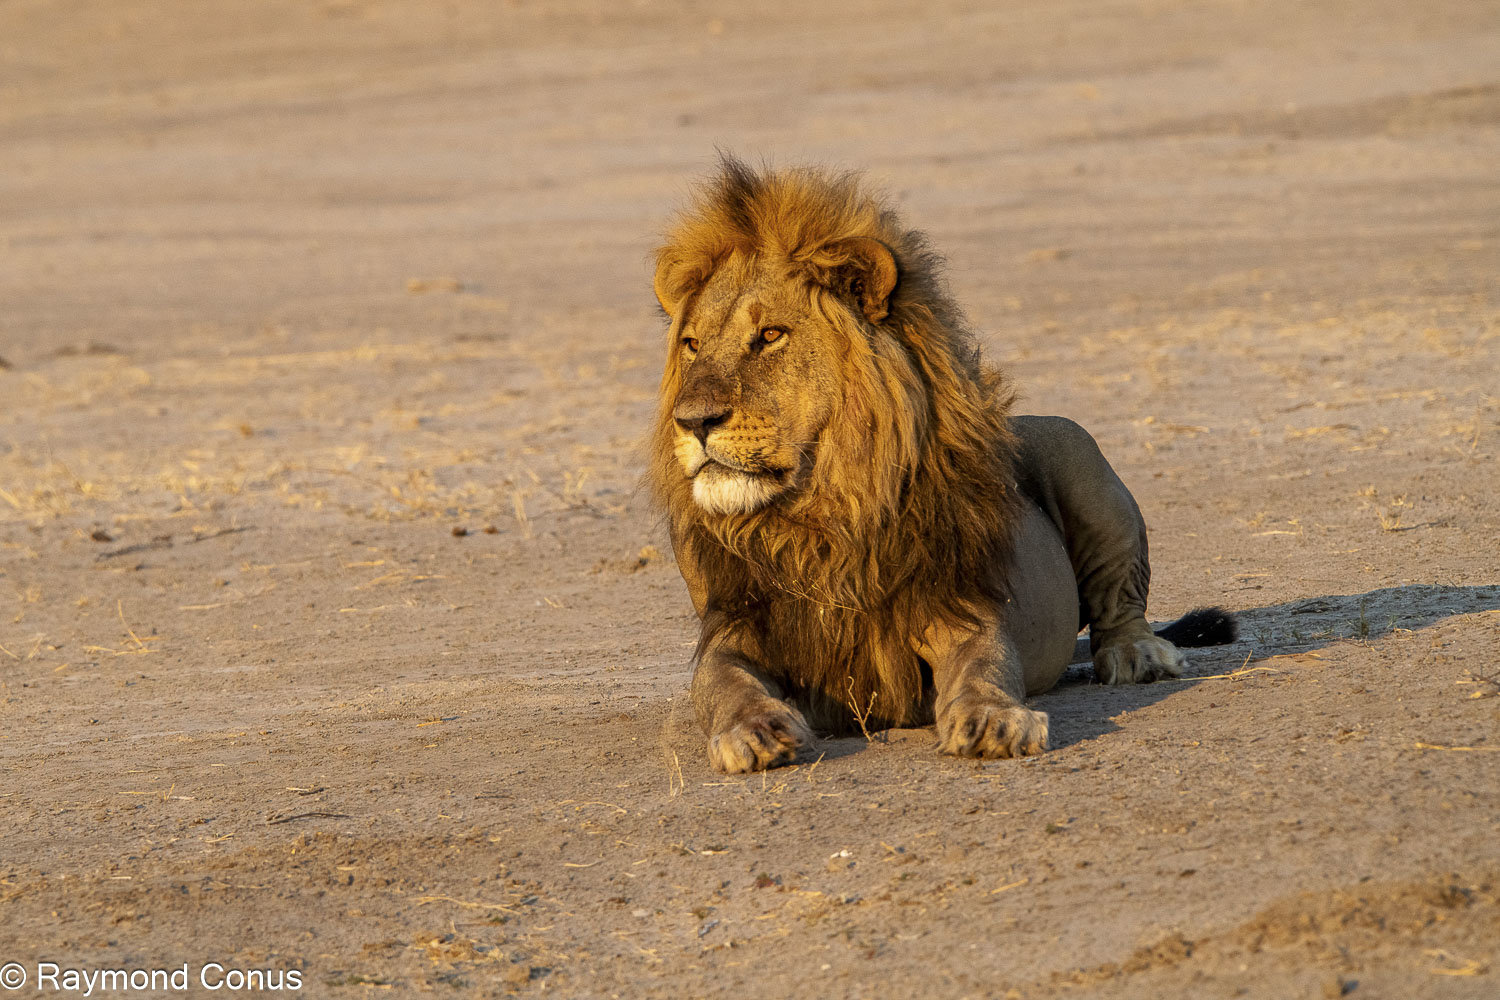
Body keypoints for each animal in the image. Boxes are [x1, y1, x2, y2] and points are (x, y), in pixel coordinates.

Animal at [648, 157, 1235, 773]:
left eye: (770, 335)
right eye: (692, 345)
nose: (691, 421)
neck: (820, 517)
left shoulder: (957, 607)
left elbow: (984, 666)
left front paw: (995, 720)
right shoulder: (735, 627)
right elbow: (725, 684)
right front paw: (753, 730)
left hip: (1080, 452)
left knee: (1120, 605)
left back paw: (1137, 654)